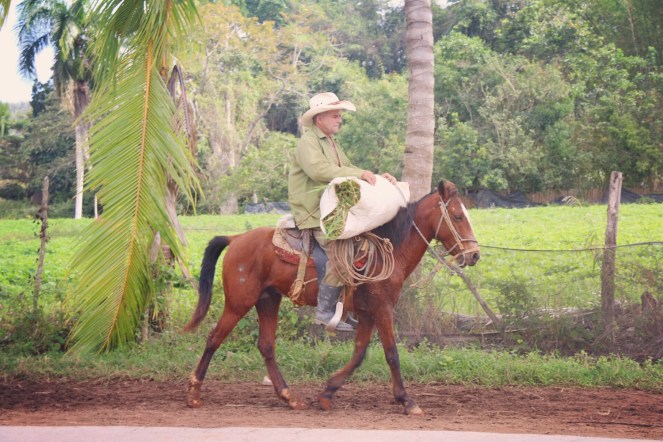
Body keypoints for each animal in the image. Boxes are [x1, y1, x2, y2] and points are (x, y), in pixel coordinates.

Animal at [184, 180, 480, 415]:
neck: (389, 251)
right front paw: (407, 400)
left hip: (268, 300)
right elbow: (392, 353)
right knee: (214, 338)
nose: (475, 255)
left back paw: (289, 397)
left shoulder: (367, 313)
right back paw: (194, 393)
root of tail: (236, 239)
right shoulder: (383, 309)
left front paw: (327, 393)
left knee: (266, 345)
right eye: (457, 216)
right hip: (238, 303)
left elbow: (360, 354)